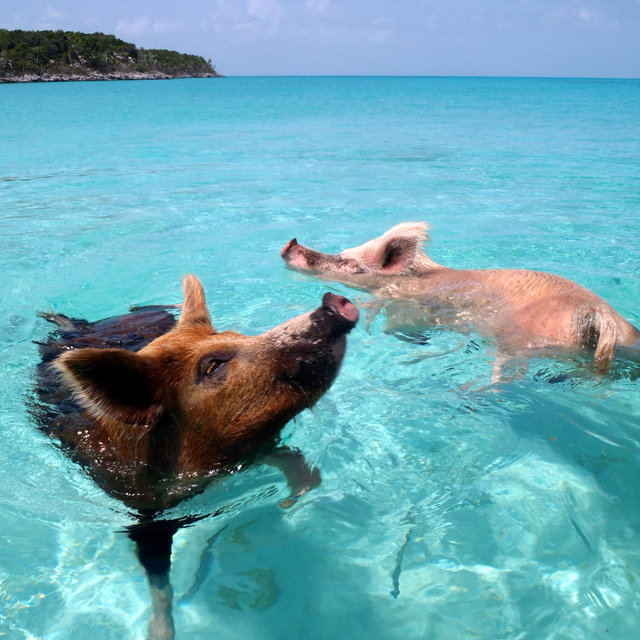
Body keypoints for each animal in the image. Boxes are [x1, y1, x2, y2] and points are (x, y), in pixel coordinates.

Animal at [33, 274, 358, 640]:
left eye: (237, 335)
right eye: (213, 365)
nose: (334, 302)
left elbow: (292, 461)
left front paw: (292, 499)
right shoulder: (145, 515)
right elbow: (160, 583)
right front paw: (160, 634)